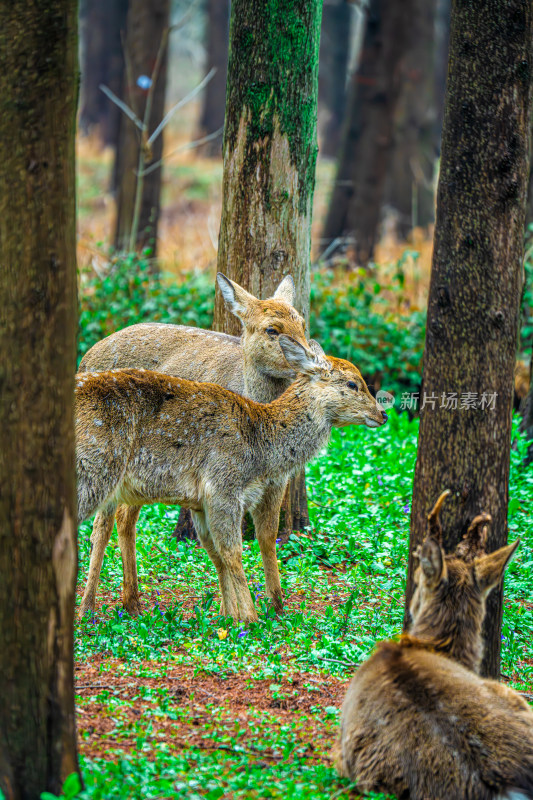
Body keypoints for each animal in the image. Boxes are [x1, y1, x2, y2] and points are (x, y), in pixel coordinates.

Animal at [76, 334, 386, 620]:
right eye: (353, 383)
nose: (382, 414)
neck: (262, 445)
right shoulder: (223, 485)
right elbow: (232, 553)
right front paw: (251, 618)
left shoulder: (201, 502)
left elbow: (217, 555)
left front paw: (229, 616)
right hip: (93, 472)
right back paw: (89, 610)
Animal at [80, 274, 308, 608]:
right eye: (272, 329)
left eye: (302, 323)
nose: (309, 360)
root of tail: (85, 356)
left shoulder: (278, 480)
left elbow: (267, 537)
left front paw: (277, 605)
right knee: (102, 524)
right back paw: (89, 606)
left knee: (125, 516)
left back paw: (132, 602)